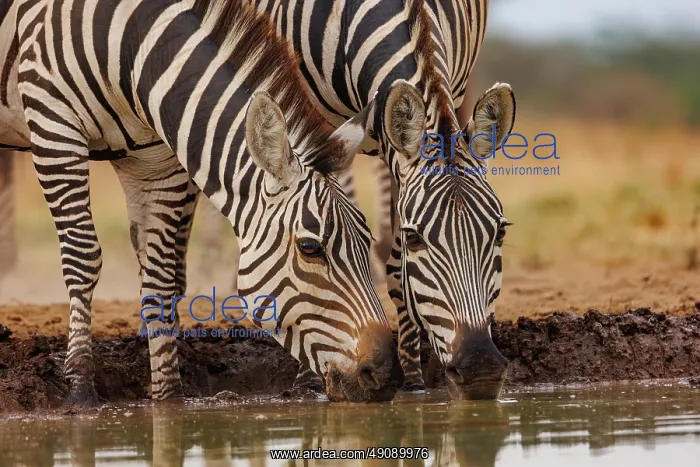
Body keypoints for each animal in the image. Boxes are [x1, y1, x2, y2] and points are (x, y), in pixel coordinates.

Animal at [1, 0, 405, 404]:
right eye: (310, 248)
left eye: (367, 241)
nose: (386, 375)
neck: (133, 46)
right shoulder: (53, 122)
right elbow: (83, 257)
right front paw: (81, 385)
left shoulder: (154, 160)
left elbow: (160, 277)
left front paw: (168, 395)